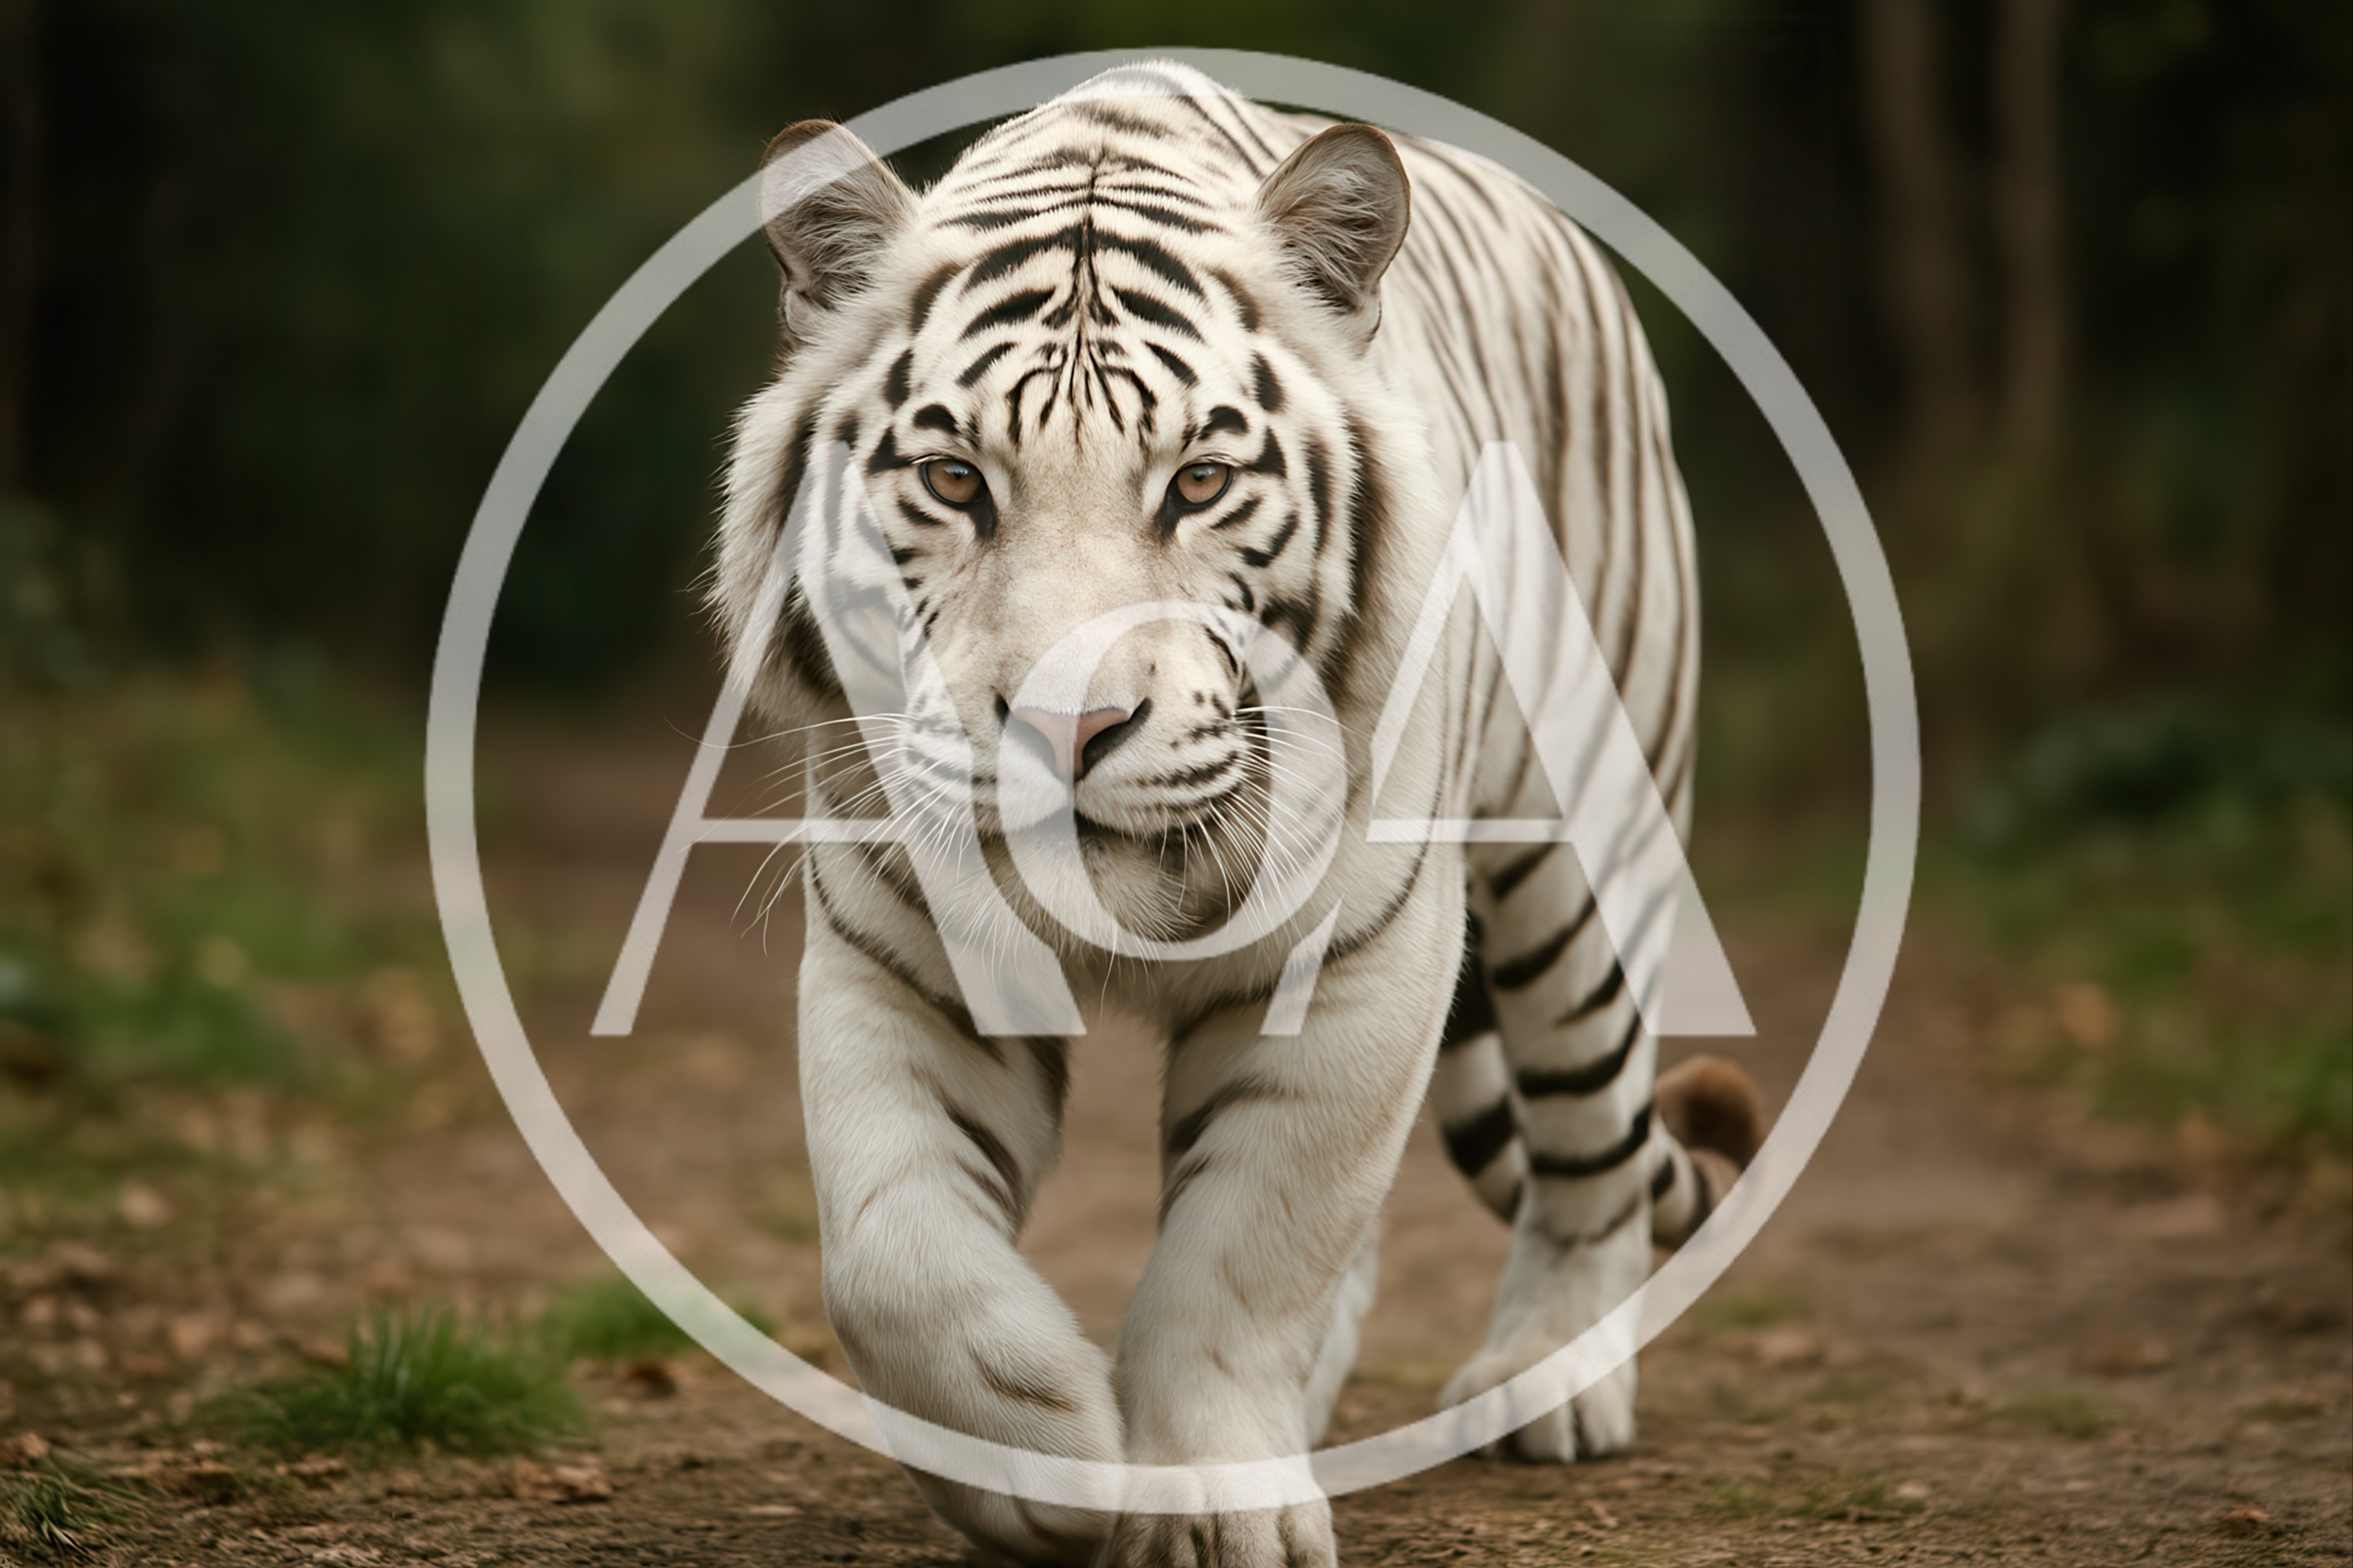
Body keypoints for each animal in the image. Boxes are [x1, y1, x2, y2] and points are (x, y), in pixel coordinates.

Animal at [711, 60, 1766, 1568]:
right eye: (956, 480)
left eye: (1197, 485)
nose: (1066, 726)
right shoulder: (898, 961)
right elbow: (893, 1260)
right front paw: (1047, 1458)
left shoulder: (1357, 962)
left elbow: (1249, 1249)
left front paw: (1208, 1497)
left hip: (1580, 870)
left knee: (1590, 1153)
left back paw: (1545, 1385)